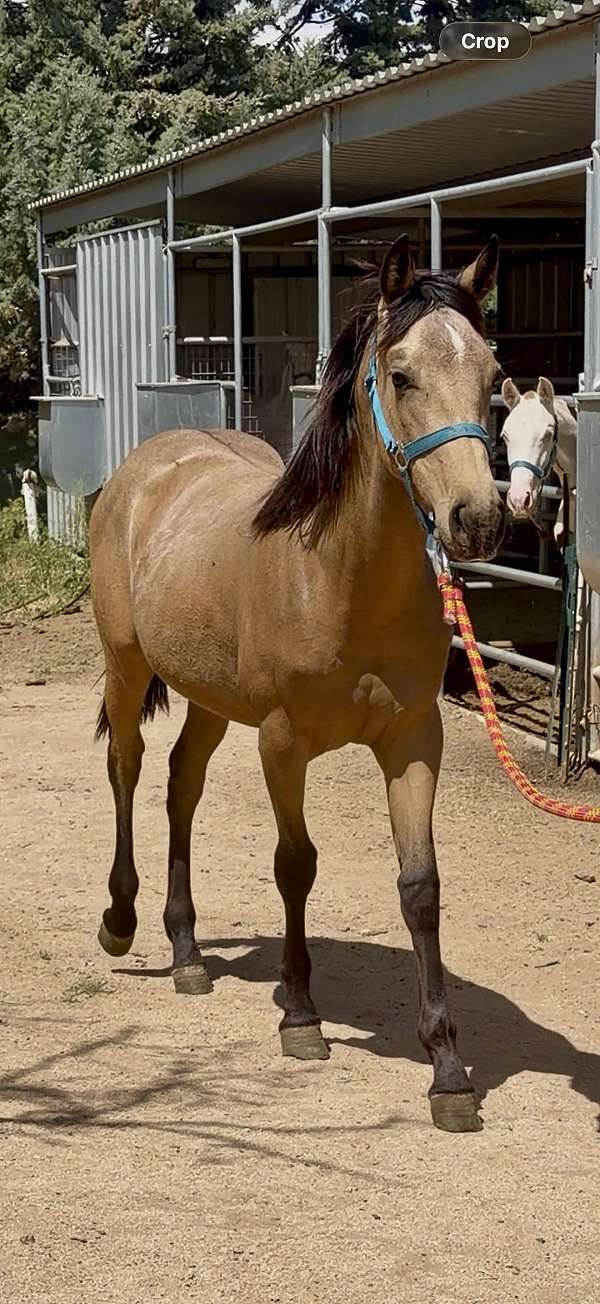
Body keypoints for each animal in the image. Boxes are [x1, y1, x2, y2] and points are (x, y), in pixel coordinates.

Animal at [90, 234, 505, 1133]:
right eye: (402, 375)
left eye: (493, 373)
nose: (478, 519)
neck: (341, 578)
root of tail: (146, 467)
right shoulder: (283, 743)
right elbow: (295, 866)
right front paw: (301, 1016)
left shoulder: (414, 742)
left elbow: (420, 888)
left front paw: (448, 1069)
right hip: (126, 666)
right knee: (127, 771)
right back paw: (121, 921)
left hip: (210, 700)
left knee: (180, 785)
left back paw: (186, 951)